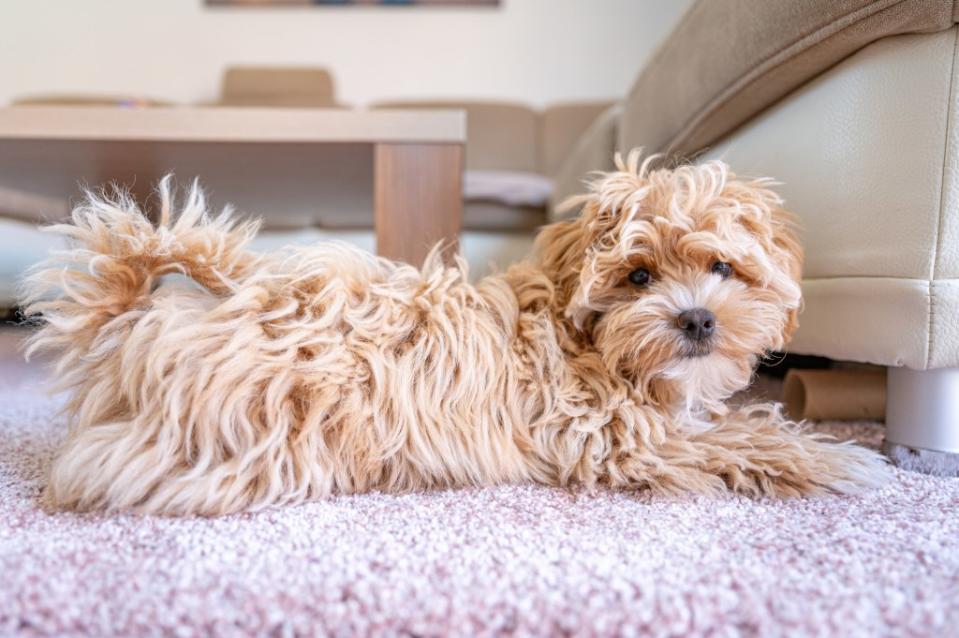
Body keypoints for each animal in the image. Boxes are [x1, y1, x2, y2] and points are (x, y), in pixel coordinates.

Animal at [20, 154, 892, 516]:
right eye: (639, 275)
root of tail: (133, 325)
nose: (696, 318)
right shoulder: (612, 437)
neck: (587, 341)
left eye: (721, 266)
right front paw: (843, 459)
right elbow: (743, 436)